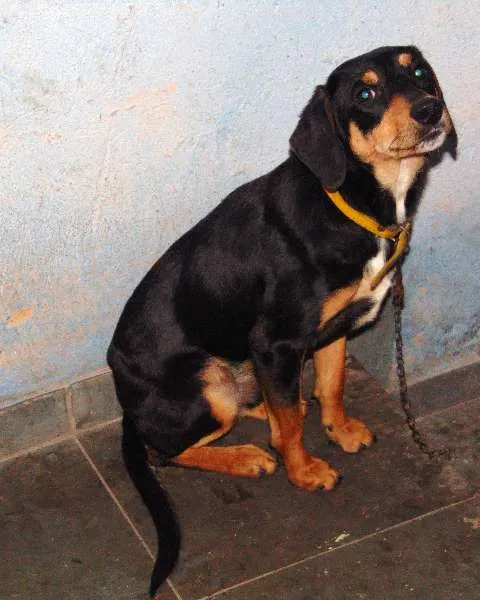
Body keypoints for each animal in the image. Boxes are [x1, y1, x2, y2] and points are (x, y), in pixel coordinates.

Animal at [107, 46, 456, 596]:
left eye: (418, 71)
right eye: (365, 92)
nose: (429, 109)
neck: (355, 205)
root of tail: (126, 403)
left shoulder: (333, 330)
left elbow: (330, 387)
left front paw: (340, 430)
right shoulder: (277, 342)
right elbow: (292, 426)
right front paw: (305, 472)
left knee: (263, 403)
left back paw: (264, 412)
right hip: (209, 385)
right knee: (165, 451)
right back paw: (245, 456)